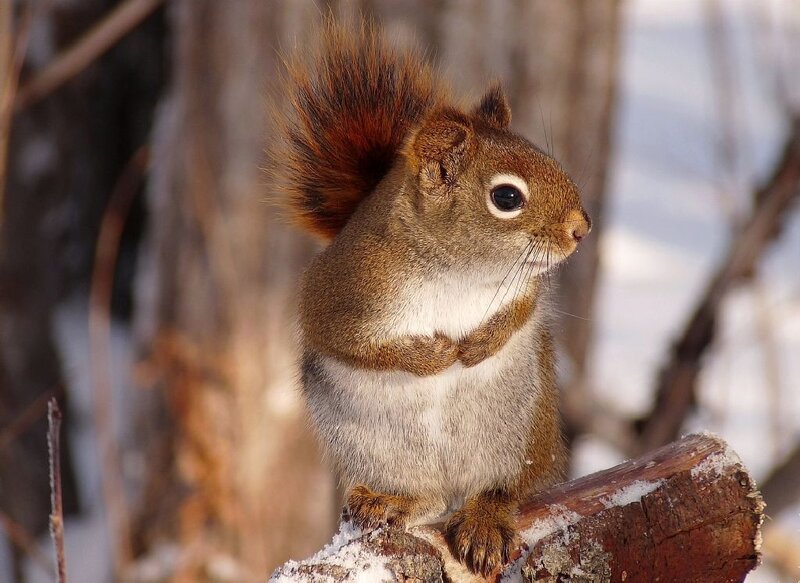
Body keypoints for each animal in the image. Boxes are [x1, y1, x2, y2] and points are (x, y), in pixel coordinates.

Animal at [272, 21, 591, 577]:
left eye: (548, 157)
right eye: (507, 197)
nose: (582, 227)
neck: (457, 272)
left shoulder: (524, 289)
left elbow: (520, 313)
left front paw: (479, 343)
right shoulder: (338, 294)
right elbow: (351, 343)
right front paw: (432, 356)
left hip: (522, 429)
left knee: (501, 489)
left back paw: (485, 518)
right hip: (376, 447)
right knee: (427, 497)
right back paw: (394, 500)